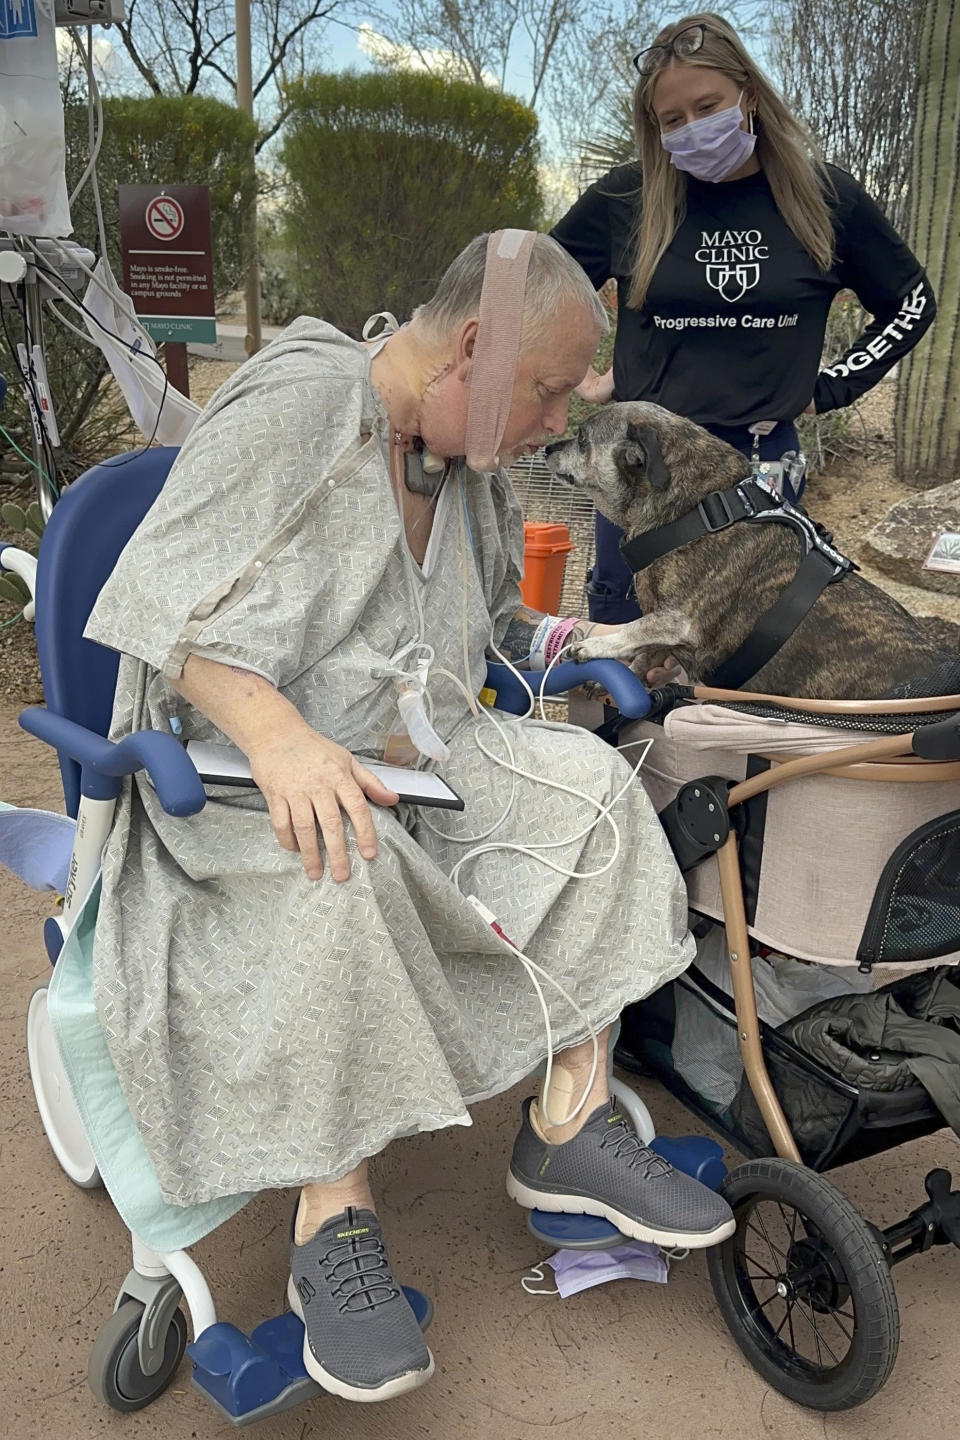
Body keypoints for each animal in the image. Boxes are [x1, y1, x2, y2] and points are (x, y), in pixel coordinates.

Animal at [544, 403, 955, 699]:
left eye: (582, 439)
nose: (548, 446)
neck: (697, 509)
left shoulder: (678, 619)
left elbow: (635, 628)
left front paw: (595, 645)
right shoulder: (665, 633)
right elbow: (646, 651)